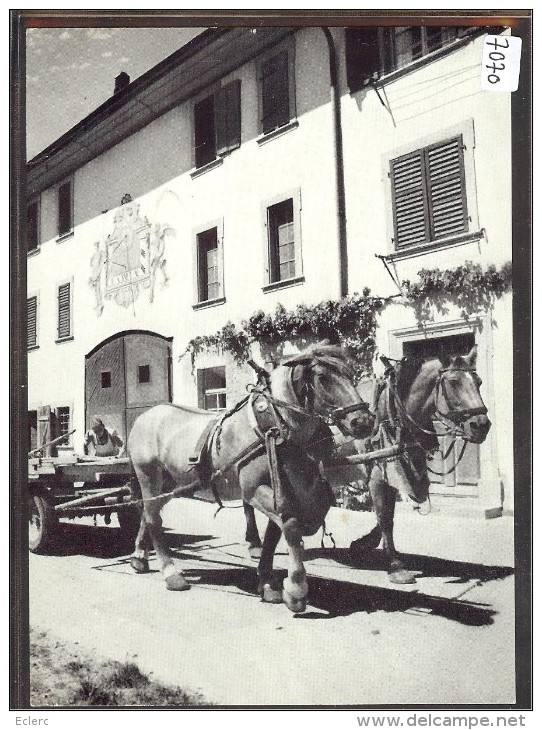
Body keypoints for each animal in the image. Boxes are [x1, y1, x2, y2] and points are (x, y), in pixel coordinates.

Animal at [128, 342, 376, 608]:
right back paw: (171, 572)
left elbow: (273, 536)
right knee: (153, 518)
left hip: (171, 484)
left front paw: (267, 582)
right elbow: (291, 526)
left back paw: (139, 556)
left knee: (147, 512)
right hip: (149, 475)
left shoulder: (283, 491)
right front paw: (296, 588)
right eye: (322, 377)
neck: (275, 426)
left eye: (350, 373)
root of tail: (146, 415)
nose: (363, 421)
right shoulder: (254, 490)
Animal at [348, 344, 492, 584]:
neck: (392, 411)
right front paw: (395, 565)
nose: (481, 425)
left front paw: (363, 544)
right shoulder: (378, 476)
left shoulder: (397, 472)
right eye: (453, 382)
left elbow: (387, 515)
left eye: (479, 382)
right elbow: (384, 517)